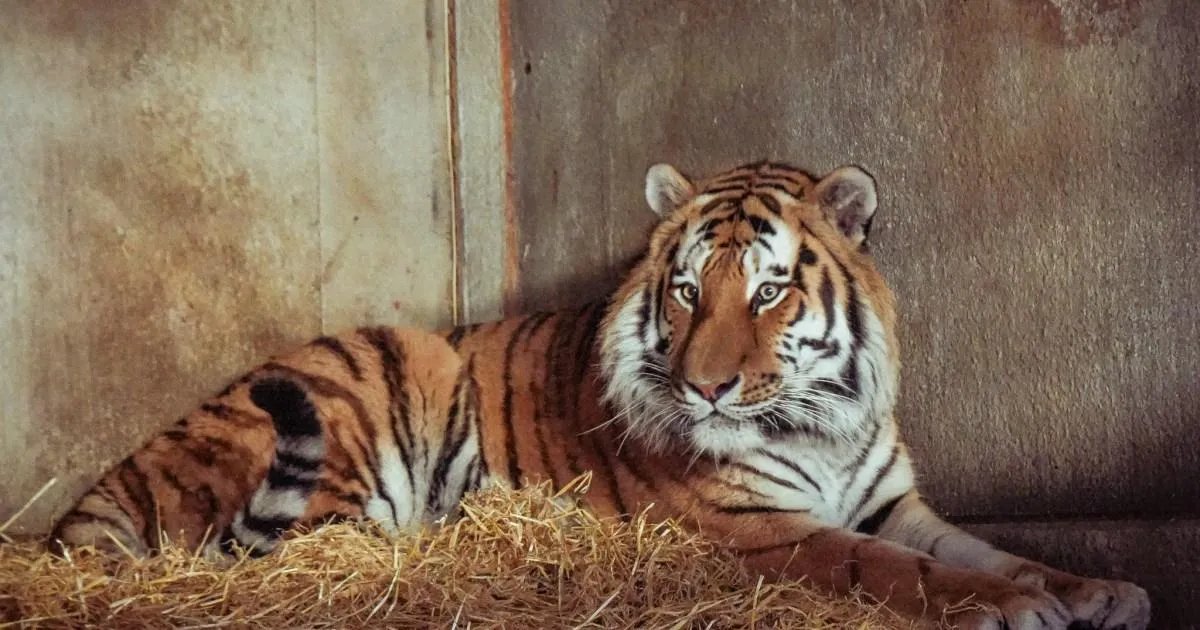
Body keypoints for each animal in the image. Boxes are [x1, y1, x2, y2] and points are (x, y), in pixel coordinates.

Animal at [50, 160, 1150, 629]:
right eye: (687, 289)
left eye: (769, 290)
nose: (707, 389)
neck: (822, 422)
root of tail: (113, 481)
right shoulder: (763, 530)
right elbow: (895, 571)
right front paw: (1014, 611)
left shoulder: (894, 503)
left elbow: (992, 551)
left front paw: (1097, 590)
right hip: (361, 402)